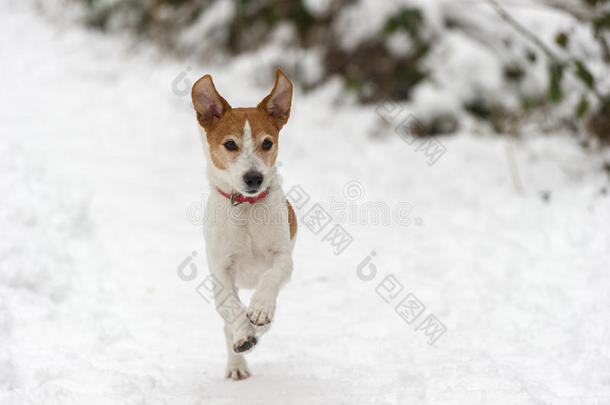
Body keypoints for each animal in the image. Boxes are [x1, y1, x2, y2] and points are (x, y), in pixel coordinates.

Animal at [190, 68, 294, 378]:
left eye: (267, 143)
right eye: (230, 144)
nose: (254, 178)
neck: (246, 209)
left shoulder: (283, 256)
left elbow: (271, 276)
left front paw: (260, 309)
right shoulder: (221, 271)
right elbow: (231, 308)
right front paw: (243, 335)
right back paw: (238, 358)